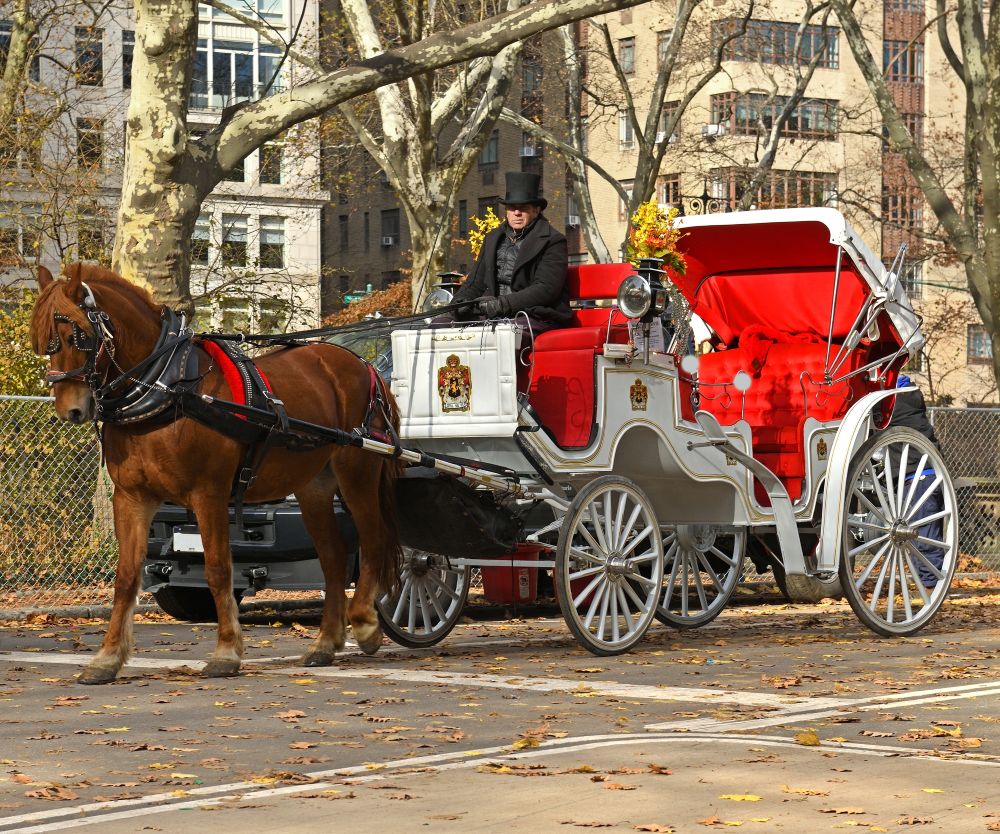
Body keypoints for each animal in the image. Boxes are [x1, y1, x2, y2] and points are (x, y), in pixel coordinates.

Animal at [30, 263, 402, 684]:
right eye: (42, 341)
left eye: (77, 335)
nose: (71, 410)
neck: (168, 388)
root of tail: (363, 365)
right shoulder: (132, 497)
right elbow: (126, 577)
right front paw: (107, 658)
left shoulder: (209, 493)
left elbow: (218, 568)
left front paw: (226, 651)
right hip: (314, 487)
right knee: (334, 558)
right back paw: (325, 643)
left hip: (357, 471)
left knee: (374, 540)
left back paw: (365, 623)